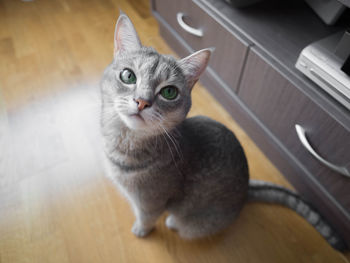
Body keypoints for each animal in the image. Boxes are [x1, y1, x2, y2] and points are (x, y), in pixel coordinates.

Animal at [101, 12, 348, 252]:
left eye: (169, 92)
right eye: (128, 76)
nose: (142, 101)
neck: (125, 143)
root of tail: (246, 190)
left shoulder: (150, 203)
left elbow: (146, 218)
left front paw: (141, 230)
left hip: (195, 221)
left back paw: (172, 222)